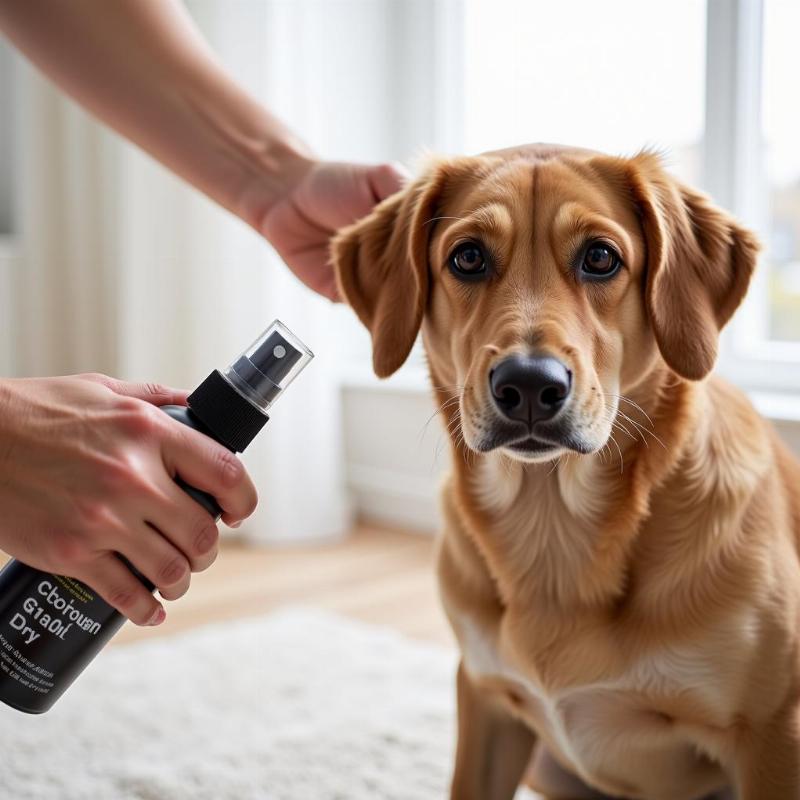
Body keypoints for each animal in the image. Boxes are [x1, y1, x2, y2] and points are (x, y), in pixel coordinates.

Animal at [330, 145, 800, 800]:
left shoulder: (774, 732)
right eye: (468, 257)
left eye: (600, 258)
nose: (529, 385)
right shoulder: (486, 701)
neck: (551, 524)